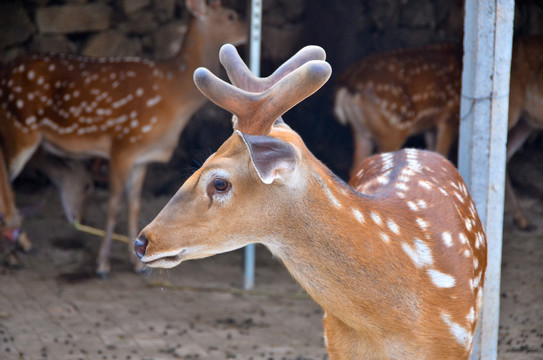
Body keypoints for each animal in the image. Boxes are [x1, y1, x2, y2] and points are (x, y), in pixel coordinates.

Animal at [0, 0, 246, 278]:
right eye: (231, 16)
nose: (247, 31)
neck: (173, 97)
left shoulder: (142, 156)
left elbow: (134, 204)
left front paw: (137, 263)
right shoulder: (124, 143)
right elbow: (114, 204)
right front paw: (102, 265)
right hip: (18, 127)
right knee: (6, 180)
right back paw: (17, 250)